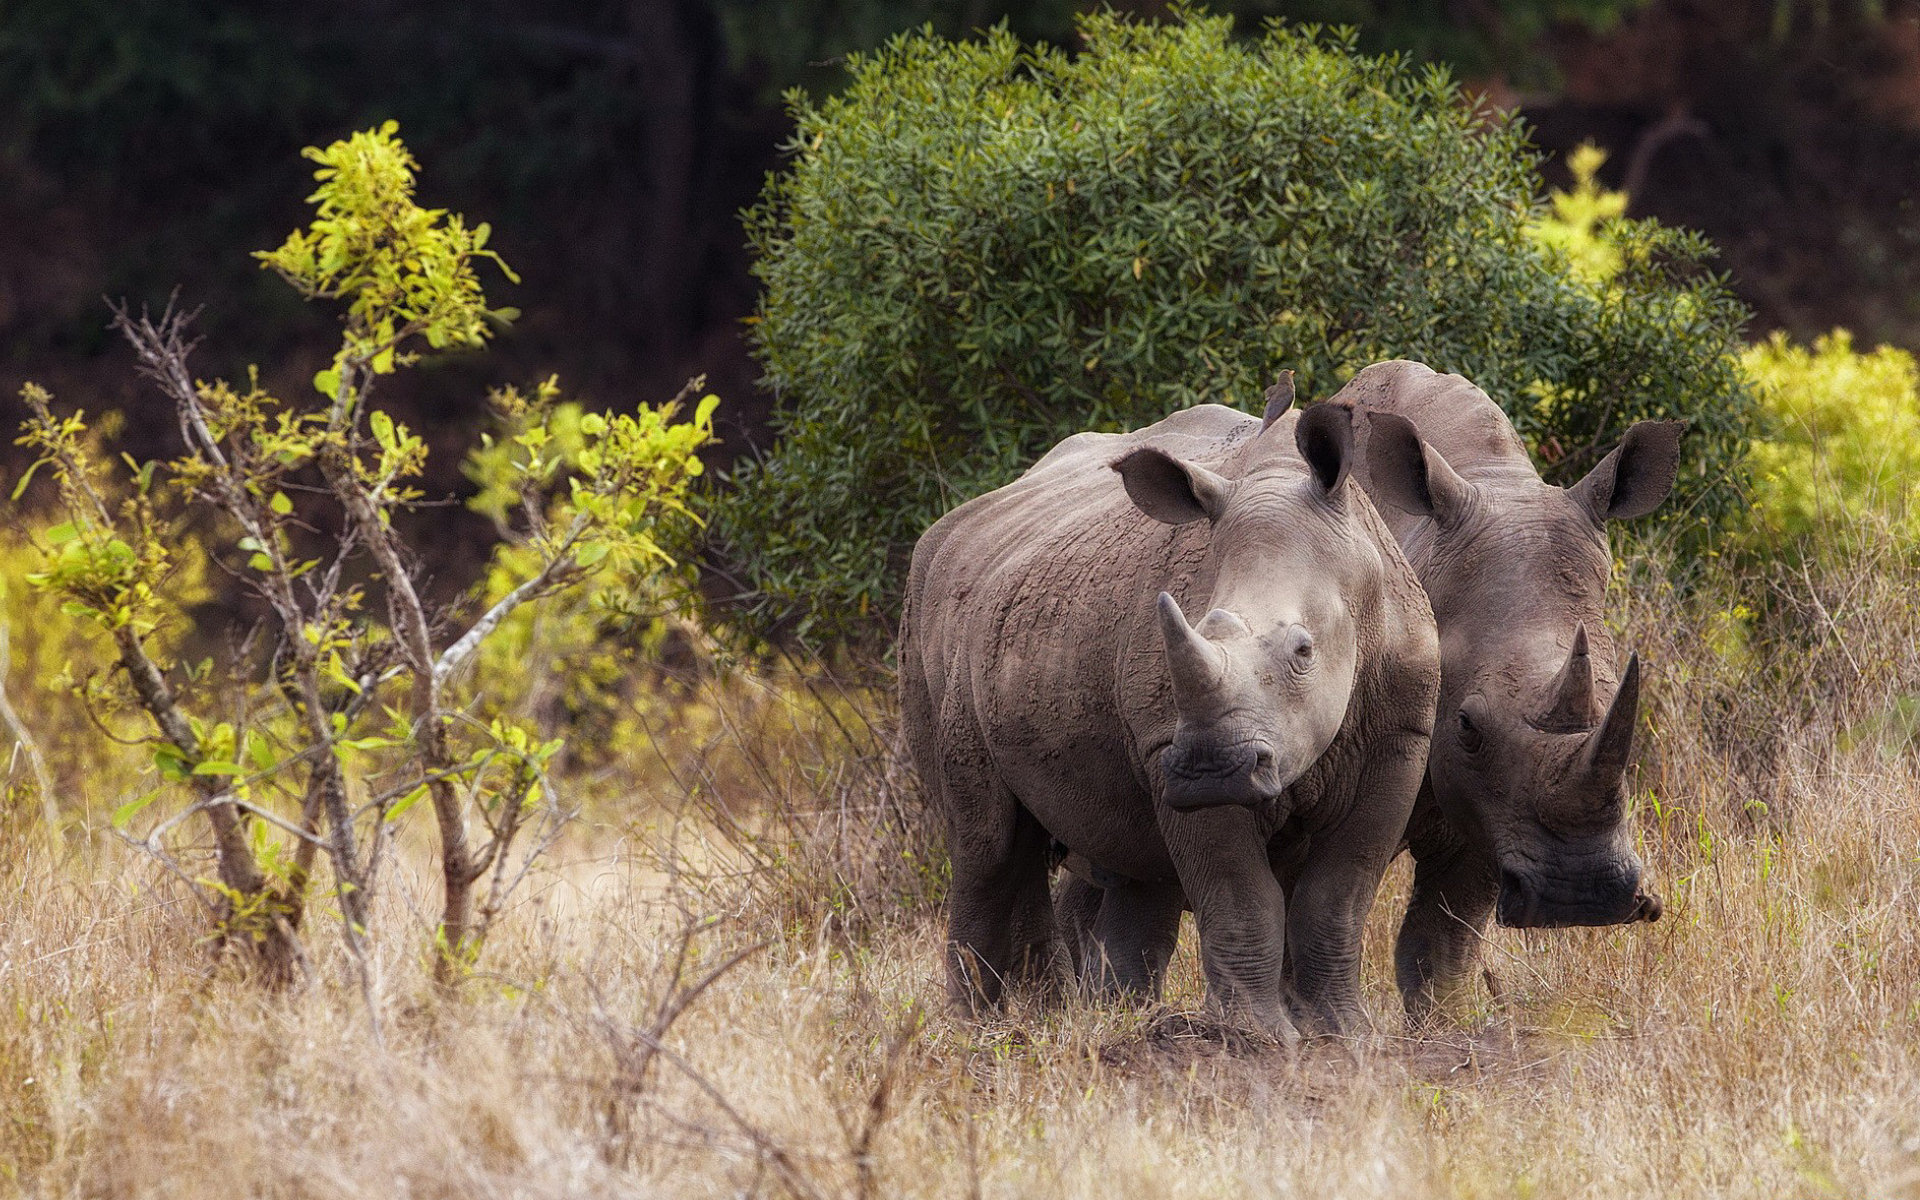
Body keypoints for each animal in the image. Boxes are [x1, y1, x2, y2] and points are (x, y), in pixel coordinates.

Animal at [902, 395, 1443, 1036]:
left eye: (1303, 651)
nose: (1211, 772)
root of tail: (955, 527)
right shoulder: (1167, 743)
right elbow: (1240, 894)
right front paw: (1256, 1037)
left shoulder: (1399, 738)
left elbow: (1338, 897)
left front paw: (1343, 1033)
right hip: (933, 623)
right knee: (988, 841)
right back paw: (980, 1030)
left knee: (1120, 856)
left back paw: (1091, 1017)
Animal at [1328, 357, 1674, 1021]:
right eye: (1466, 724)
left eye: (1625, 705)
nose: (1580, 897)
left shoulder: (1494, 810)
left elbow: (1441, 946)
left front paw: (1444, 1023)